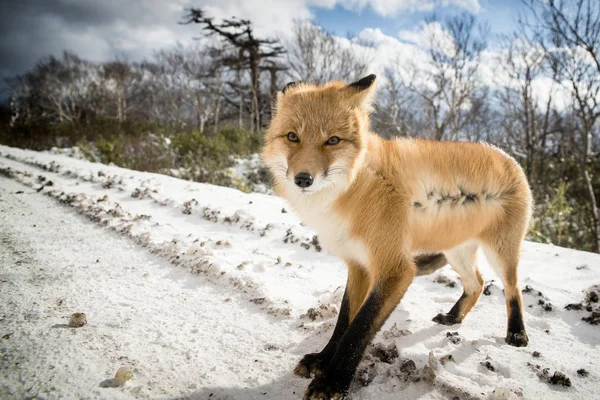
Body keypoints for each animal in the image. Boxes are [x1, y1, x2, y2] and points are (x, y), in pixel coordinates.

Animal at [260, 76, 532, 400]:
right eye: (292, 137)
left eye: (333, 141)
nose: (303, 179)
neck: (356, 188)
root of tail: (509, 157)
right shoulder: (358, 265)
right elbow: (343, 322)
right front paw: (323, 360)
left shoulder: (396, 269)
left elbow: (358, 329)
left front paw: (333, 381)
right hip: (456, 253)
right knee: (476, 284)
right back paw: (453, 318)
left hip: (501, 253)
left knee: (513, 288)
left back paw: (516, 333)